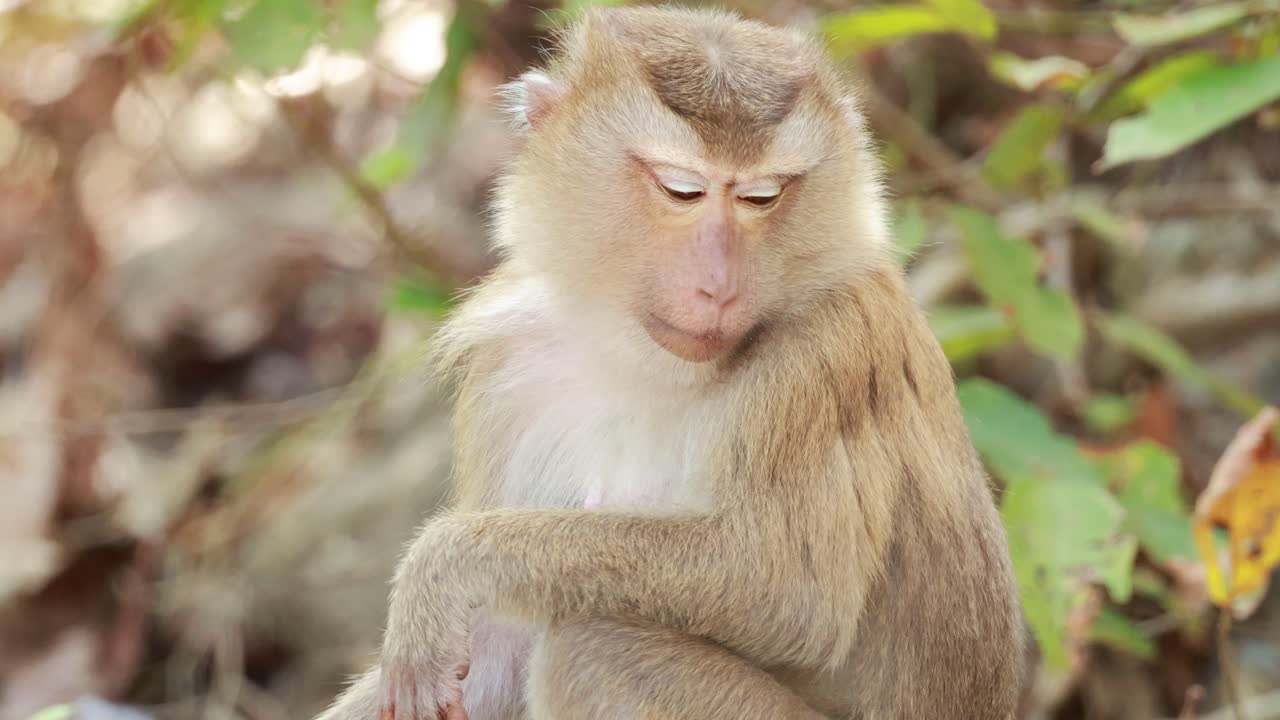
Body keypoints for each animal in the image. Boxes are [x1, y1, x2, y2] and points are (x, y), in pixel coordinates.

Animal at [316, 6, 1026, 720]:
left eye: (761, 197)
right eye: (681, 190)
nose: (719, 287)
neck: (641, 361)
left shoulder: (832, 347)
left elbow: (784, 589)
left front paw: (444, 567)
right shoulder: (509, 374)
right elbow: (495, 642)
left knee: (593, 647)